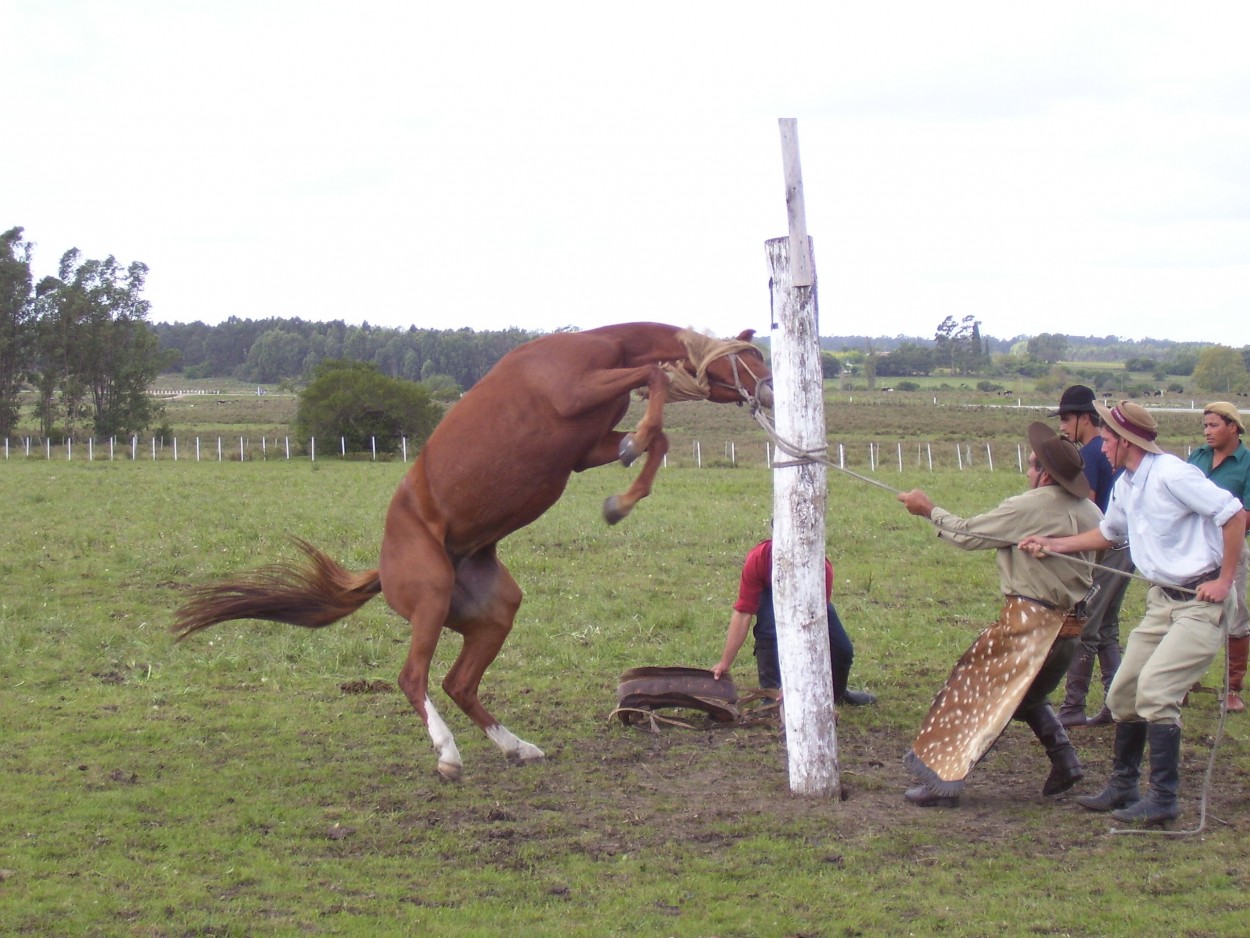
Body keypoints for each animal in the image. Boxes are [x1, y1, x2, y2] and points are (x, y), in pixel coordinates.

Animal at [171, 327, 765, 780]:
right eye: (752, 359)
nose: (771, 392)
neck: (597, 348)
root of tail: (383, 570)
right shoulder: (576, 397)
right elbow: (655, 378)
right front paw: (631, 456)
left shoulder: (582, 450)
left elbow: (658, 435)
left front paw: (621, 495)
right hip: (431, 599)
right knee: (413, 678)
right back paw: (449, 755)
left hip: (494, 611)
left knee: (457, 683)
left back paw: (517, 746)